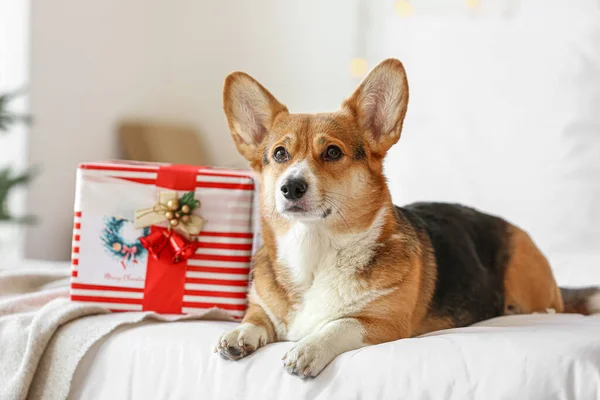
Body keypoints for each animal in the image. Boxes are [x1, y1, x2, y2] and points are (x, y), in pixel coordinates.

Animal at [213, 57, 596, 376]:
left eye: (333, 152)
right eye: (280, 154)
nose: (290, 187)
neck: (314, 251)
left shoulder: (383, 324)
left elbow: (339, 324)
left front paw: (309, 348)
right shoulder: (263, 307)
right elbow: (255, 318)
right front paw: (238, 334)